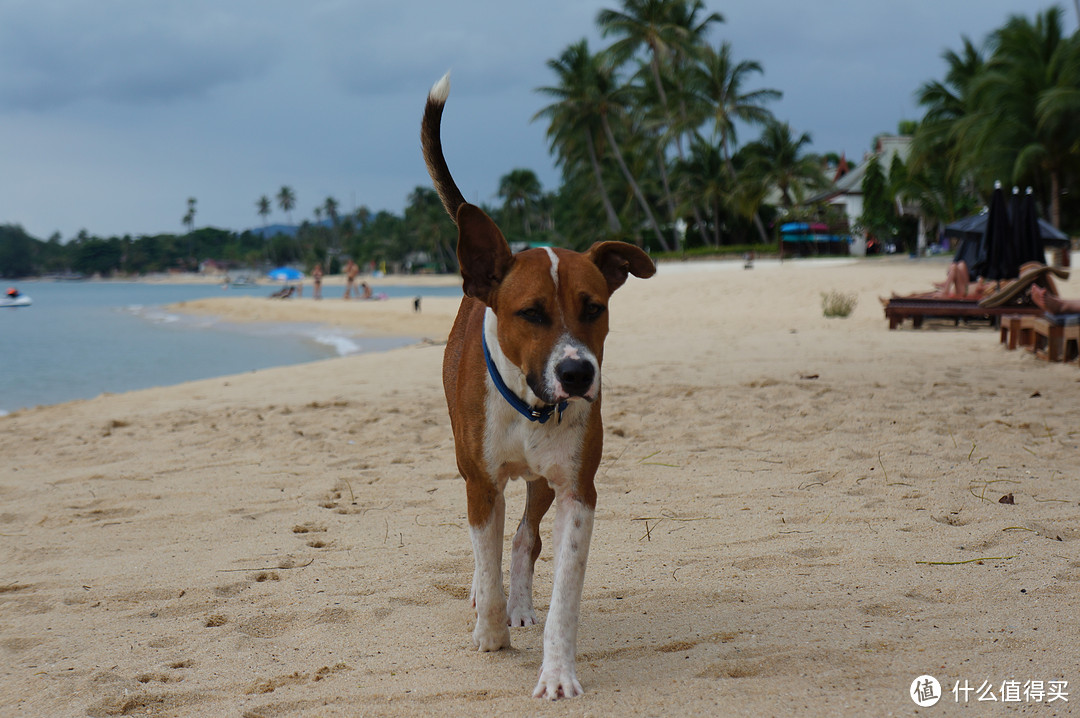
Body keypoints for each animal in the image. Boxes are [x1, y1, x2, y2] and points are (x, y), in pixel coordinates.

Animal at [425, 73, 652, 699]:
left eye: (594, 308)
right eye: (530, 313)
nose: (577, 373)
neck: (531, 406)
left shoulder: (577, 490)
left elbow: (562, 595)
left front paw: (557, 671)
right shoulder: (480, 482)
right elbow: (484, 556)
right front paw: (490, 631)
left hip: (543, 482)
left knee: (526, 538)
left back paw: (521, 602)